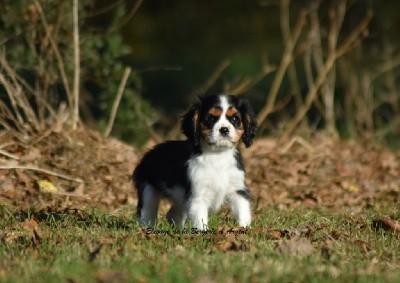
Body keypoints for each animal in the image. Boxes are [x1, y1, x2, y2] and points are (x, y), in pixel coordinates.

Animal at [134, 94, 256, 232]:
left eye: (235, 118)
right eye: (210, 118)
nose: (224, 129)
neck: (218, 154)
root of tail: (149, 153)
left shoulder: (237, 189)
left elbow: (243, 211)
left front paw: (244, 229)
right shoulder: (198, 195)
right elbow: (200, 219)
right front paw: (203, 233)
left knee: (173, 214)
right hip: (148, 190)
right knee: (147, 213)